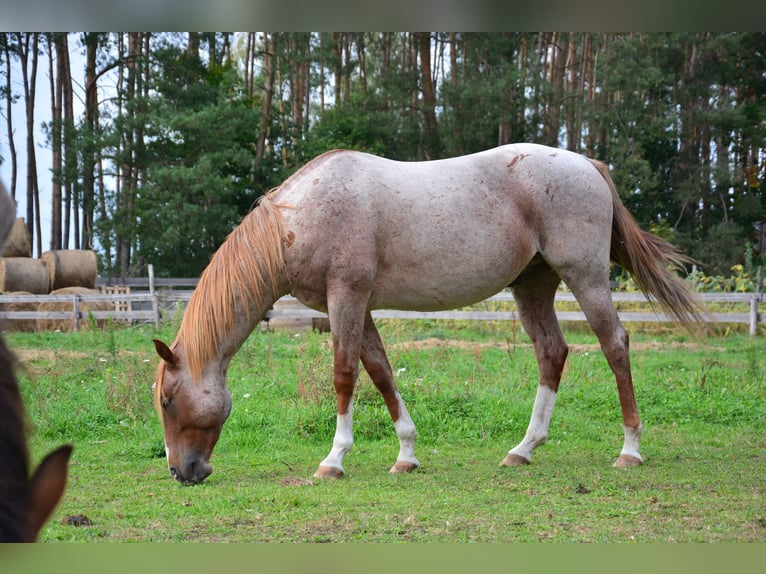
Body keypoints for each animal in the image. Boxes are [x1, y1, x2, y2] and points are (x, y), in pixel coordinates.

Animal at [153, 143, 704, 484]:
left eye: (166, 400)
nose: (182, 472)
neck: (302, 217)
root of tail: (587, 164)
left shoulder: (346, 296)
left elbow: (344, 374)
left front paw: (334, 460)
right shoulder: (357, 305)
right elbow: (380, 373)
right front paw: (406, 455)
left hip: (585, 275)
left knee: (615, 346)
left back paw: (630, 450)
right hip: (533, 285)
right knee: (552, 352)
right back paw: (524, 449)